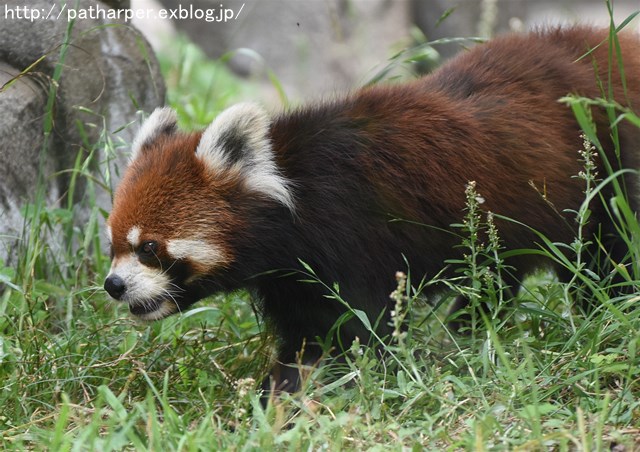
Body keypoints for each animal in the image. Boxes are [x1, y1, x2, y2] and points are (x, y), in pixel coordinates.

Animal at [102, 27, 636, 396]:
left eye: (150, 247)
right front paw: (279, 395)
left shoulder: (354, 242)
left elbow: (355, 331)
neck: (297, 199)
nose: (113, 285)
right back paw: (470, 332)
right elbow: (306, 339)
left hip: (608, 174)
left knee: (604, 263)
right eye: (112, 246)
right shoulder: (293, 280)